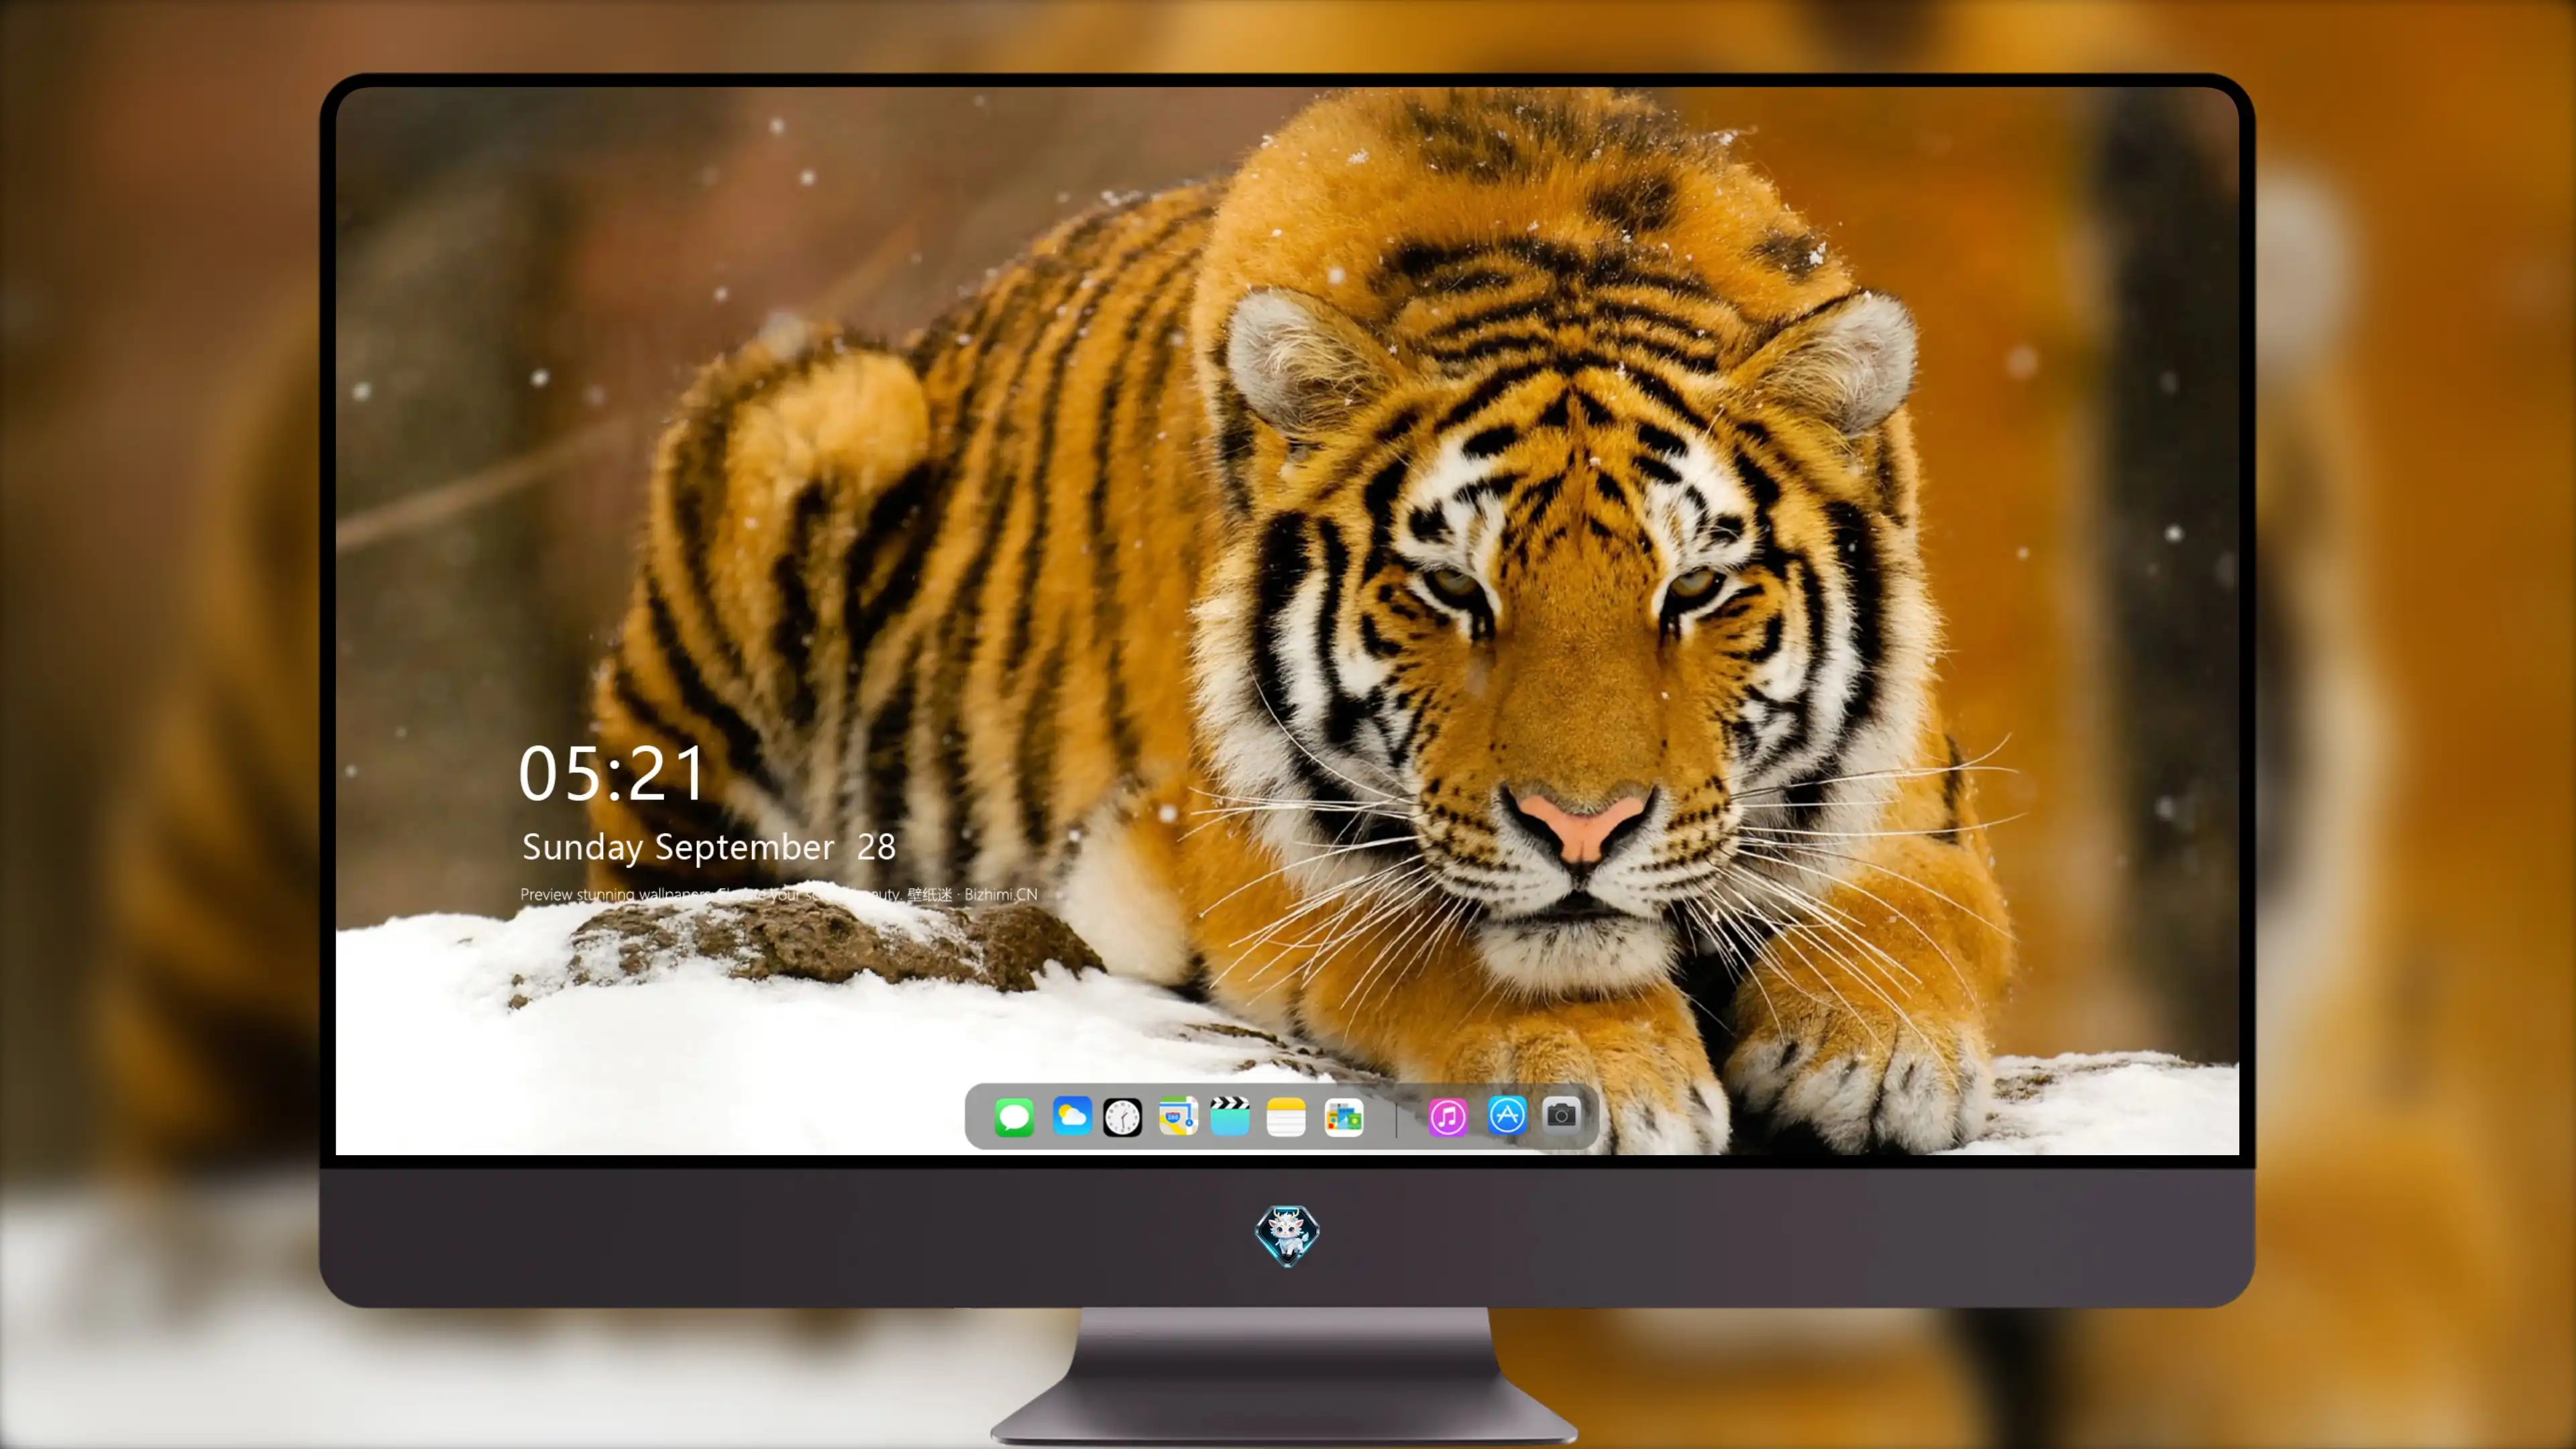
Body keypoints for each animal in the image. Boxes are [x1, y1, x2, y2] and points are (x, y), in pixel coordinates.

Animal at [587, 86, 2014, 1155]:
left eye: (1695, 591)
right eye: (1453, 591)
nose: (1583, 831)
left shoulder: (1910, 795)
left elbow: (1914, 910)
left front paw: (1874, 1052)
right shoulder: (1256, 850)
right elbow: (1458, 938)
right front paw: (1609, 1073)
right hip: (811, 428)